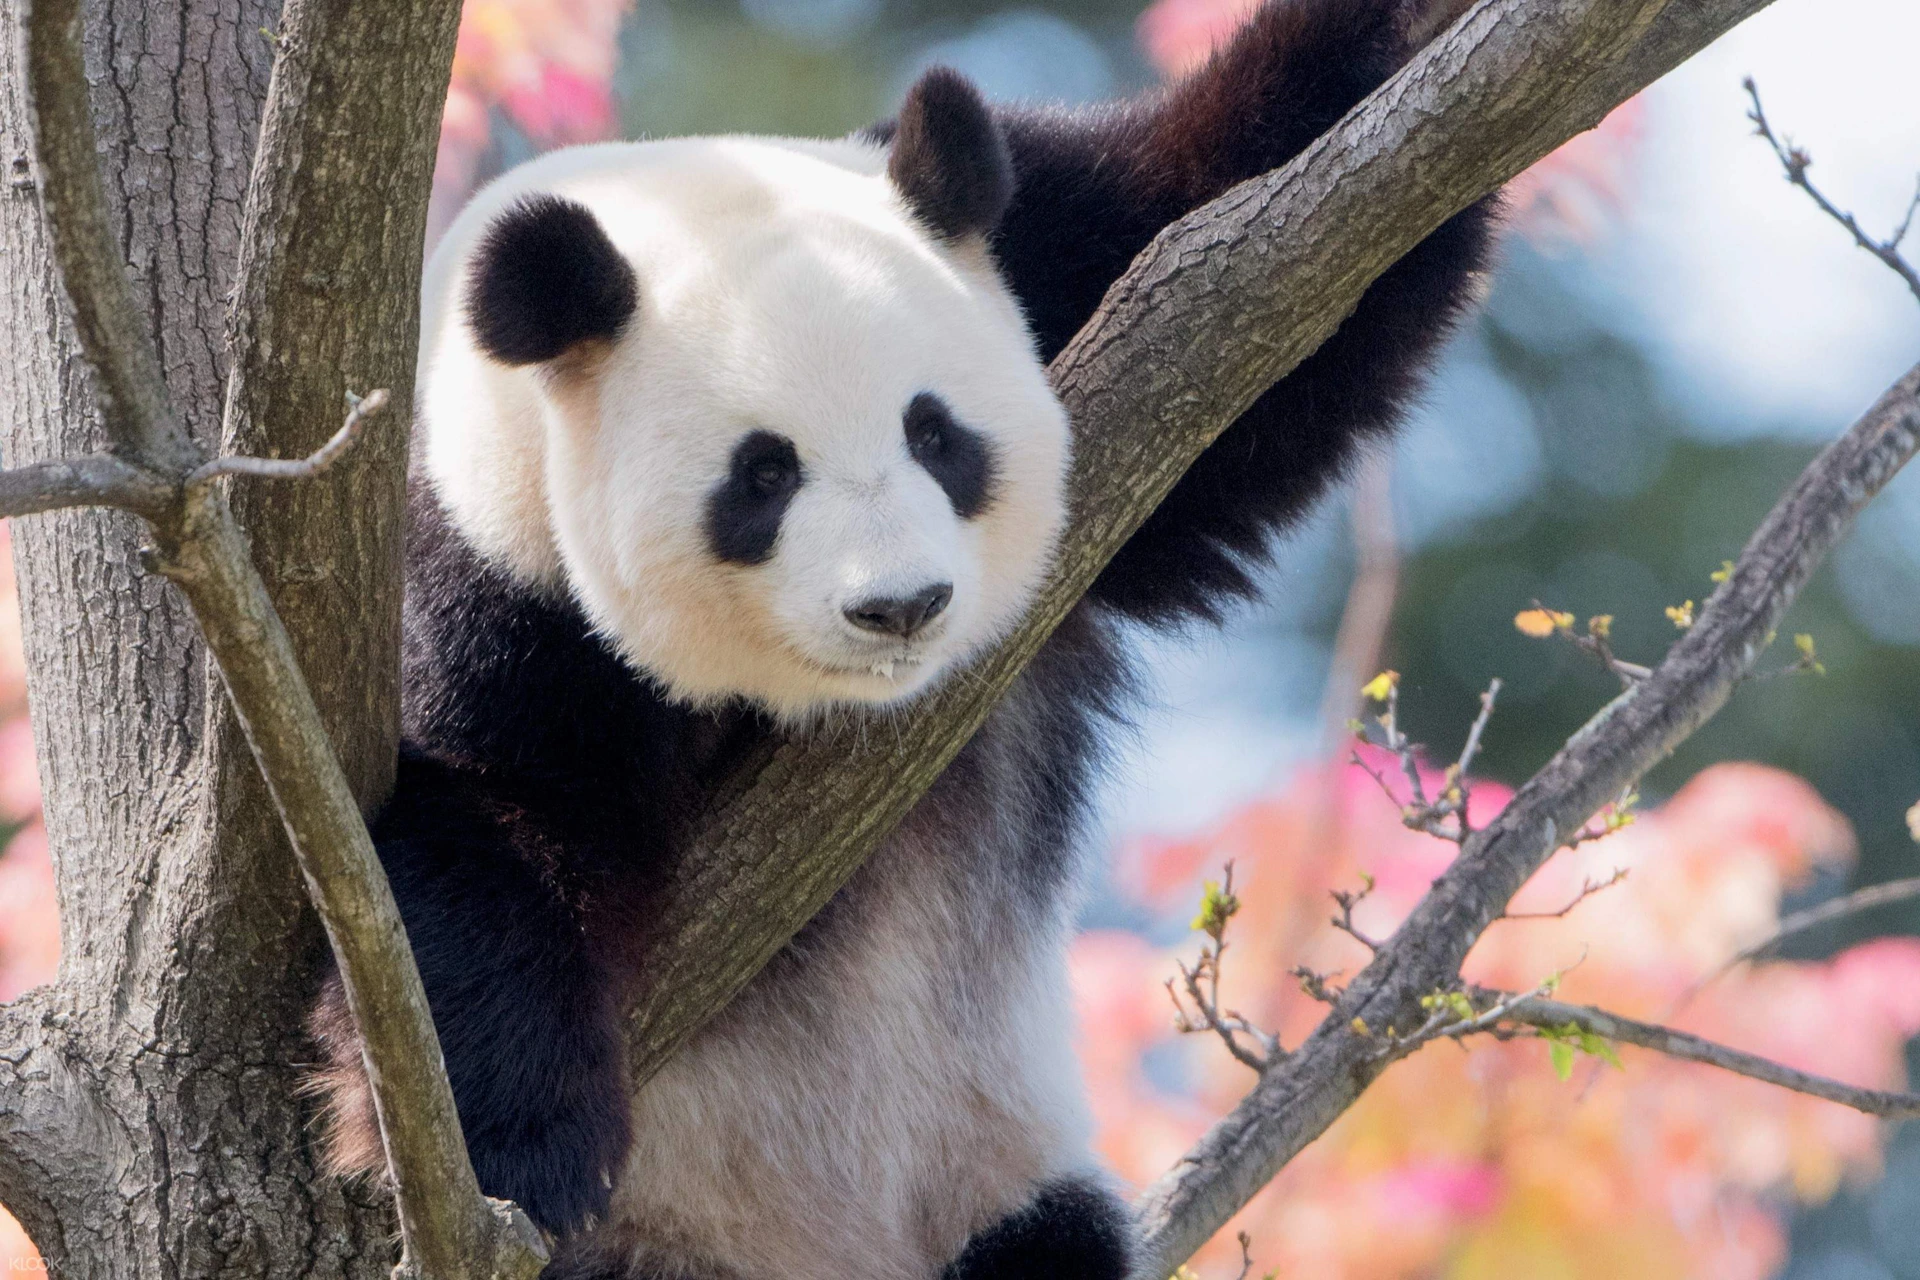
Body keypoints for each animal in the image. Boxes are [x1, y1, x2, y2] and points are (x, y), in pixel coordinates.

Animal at [305, 1, 1496, 1276]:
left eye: (936, 433)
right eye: (762, 474)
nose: (901, 605)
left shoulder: (1058, 256)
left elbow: (1279, 268)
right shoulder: (478, 569)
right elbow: (473, 822)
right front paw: (523, 1148)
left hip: (990, 1163)